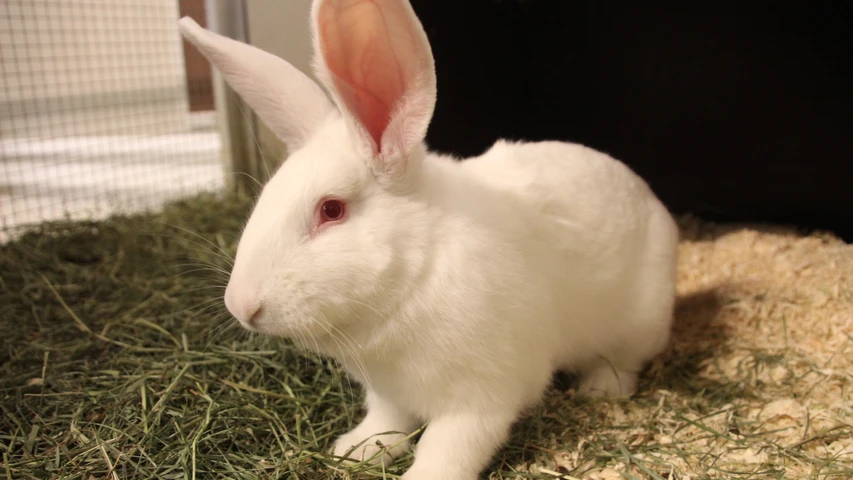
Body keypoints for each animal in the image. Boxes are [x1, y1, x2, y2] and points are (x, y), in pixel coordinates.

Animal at [178, 0, 679, 478]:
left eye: (331, 210)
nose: (241, 306)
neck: (412, 278)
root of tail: (651, 200)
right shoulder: (387, 394)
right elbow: (386, 425)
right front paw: (354, 451)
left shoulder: (481, 398)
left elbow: (447, 449)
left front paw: (418, 474)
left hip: (639, 323)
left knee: (624, 361)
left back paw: (600, 388)